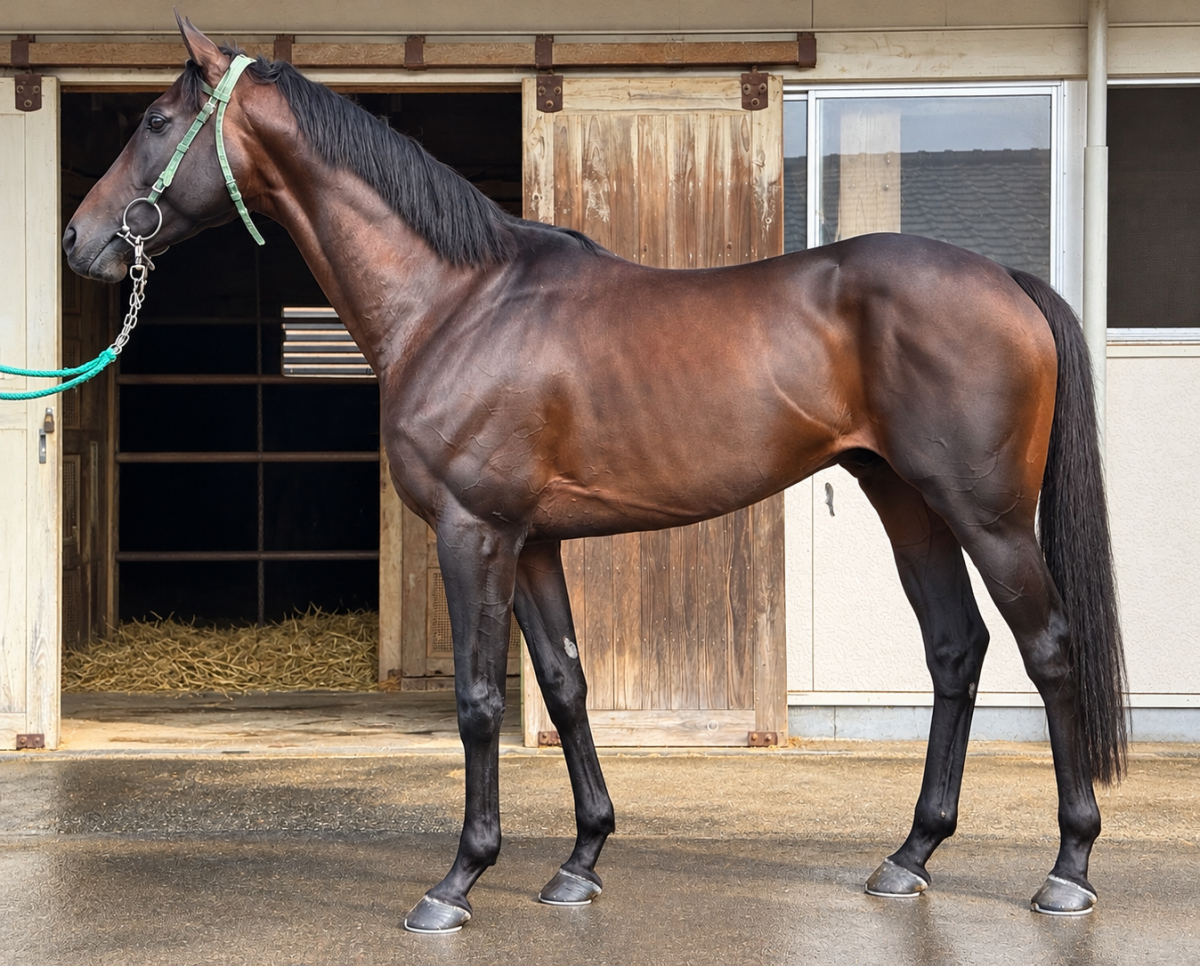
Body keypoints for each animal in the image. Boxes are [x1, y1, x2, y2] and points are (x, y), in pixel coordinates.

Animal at [64, 17, 1127, 933]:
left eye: (153, 121)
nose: (79, 241)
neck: (454, 301)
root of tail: (1006, 281)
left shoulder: (475, 532)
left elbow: (480, 701)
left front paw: (458, 880)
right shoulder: (533, 542)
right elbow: (567, 685)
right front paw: (580, 862)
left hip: (988, 515)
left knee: (1049, 648)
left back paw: (1068, 869)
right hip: (904, 501)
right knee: (954, 648)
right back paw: (910, 856)